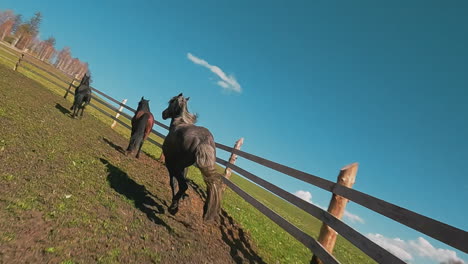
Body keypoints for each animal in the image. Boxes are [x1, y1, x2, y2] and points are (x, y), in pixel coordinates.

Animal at [163, 94, 223, 222]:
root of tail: (203, 140)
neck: (179, 123)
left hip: (175, 166)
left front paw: (174, 204)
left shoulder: (170, 164)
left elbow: (173, 183)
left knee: (184, 186)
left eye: (171, 102)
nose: (163, 113)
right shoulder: (184, 167)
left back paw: (173, 208)